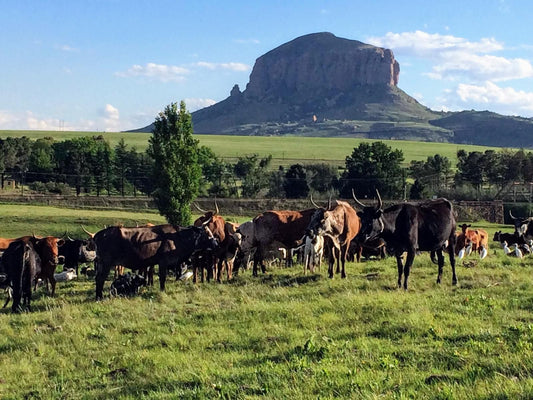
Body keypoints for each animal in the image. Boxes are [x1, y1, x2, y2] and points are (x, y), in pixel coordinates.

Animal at [87, 222, 218, 300]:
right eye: (206, 233)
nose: (216, 243)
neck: (177, 237)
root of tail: (99, 234)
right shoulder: (163, 262)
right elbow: (162, 278)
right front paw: (162, 291)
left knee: (98, 279)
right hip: (105, 263)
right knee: (100, 279)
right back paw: (99, 297)